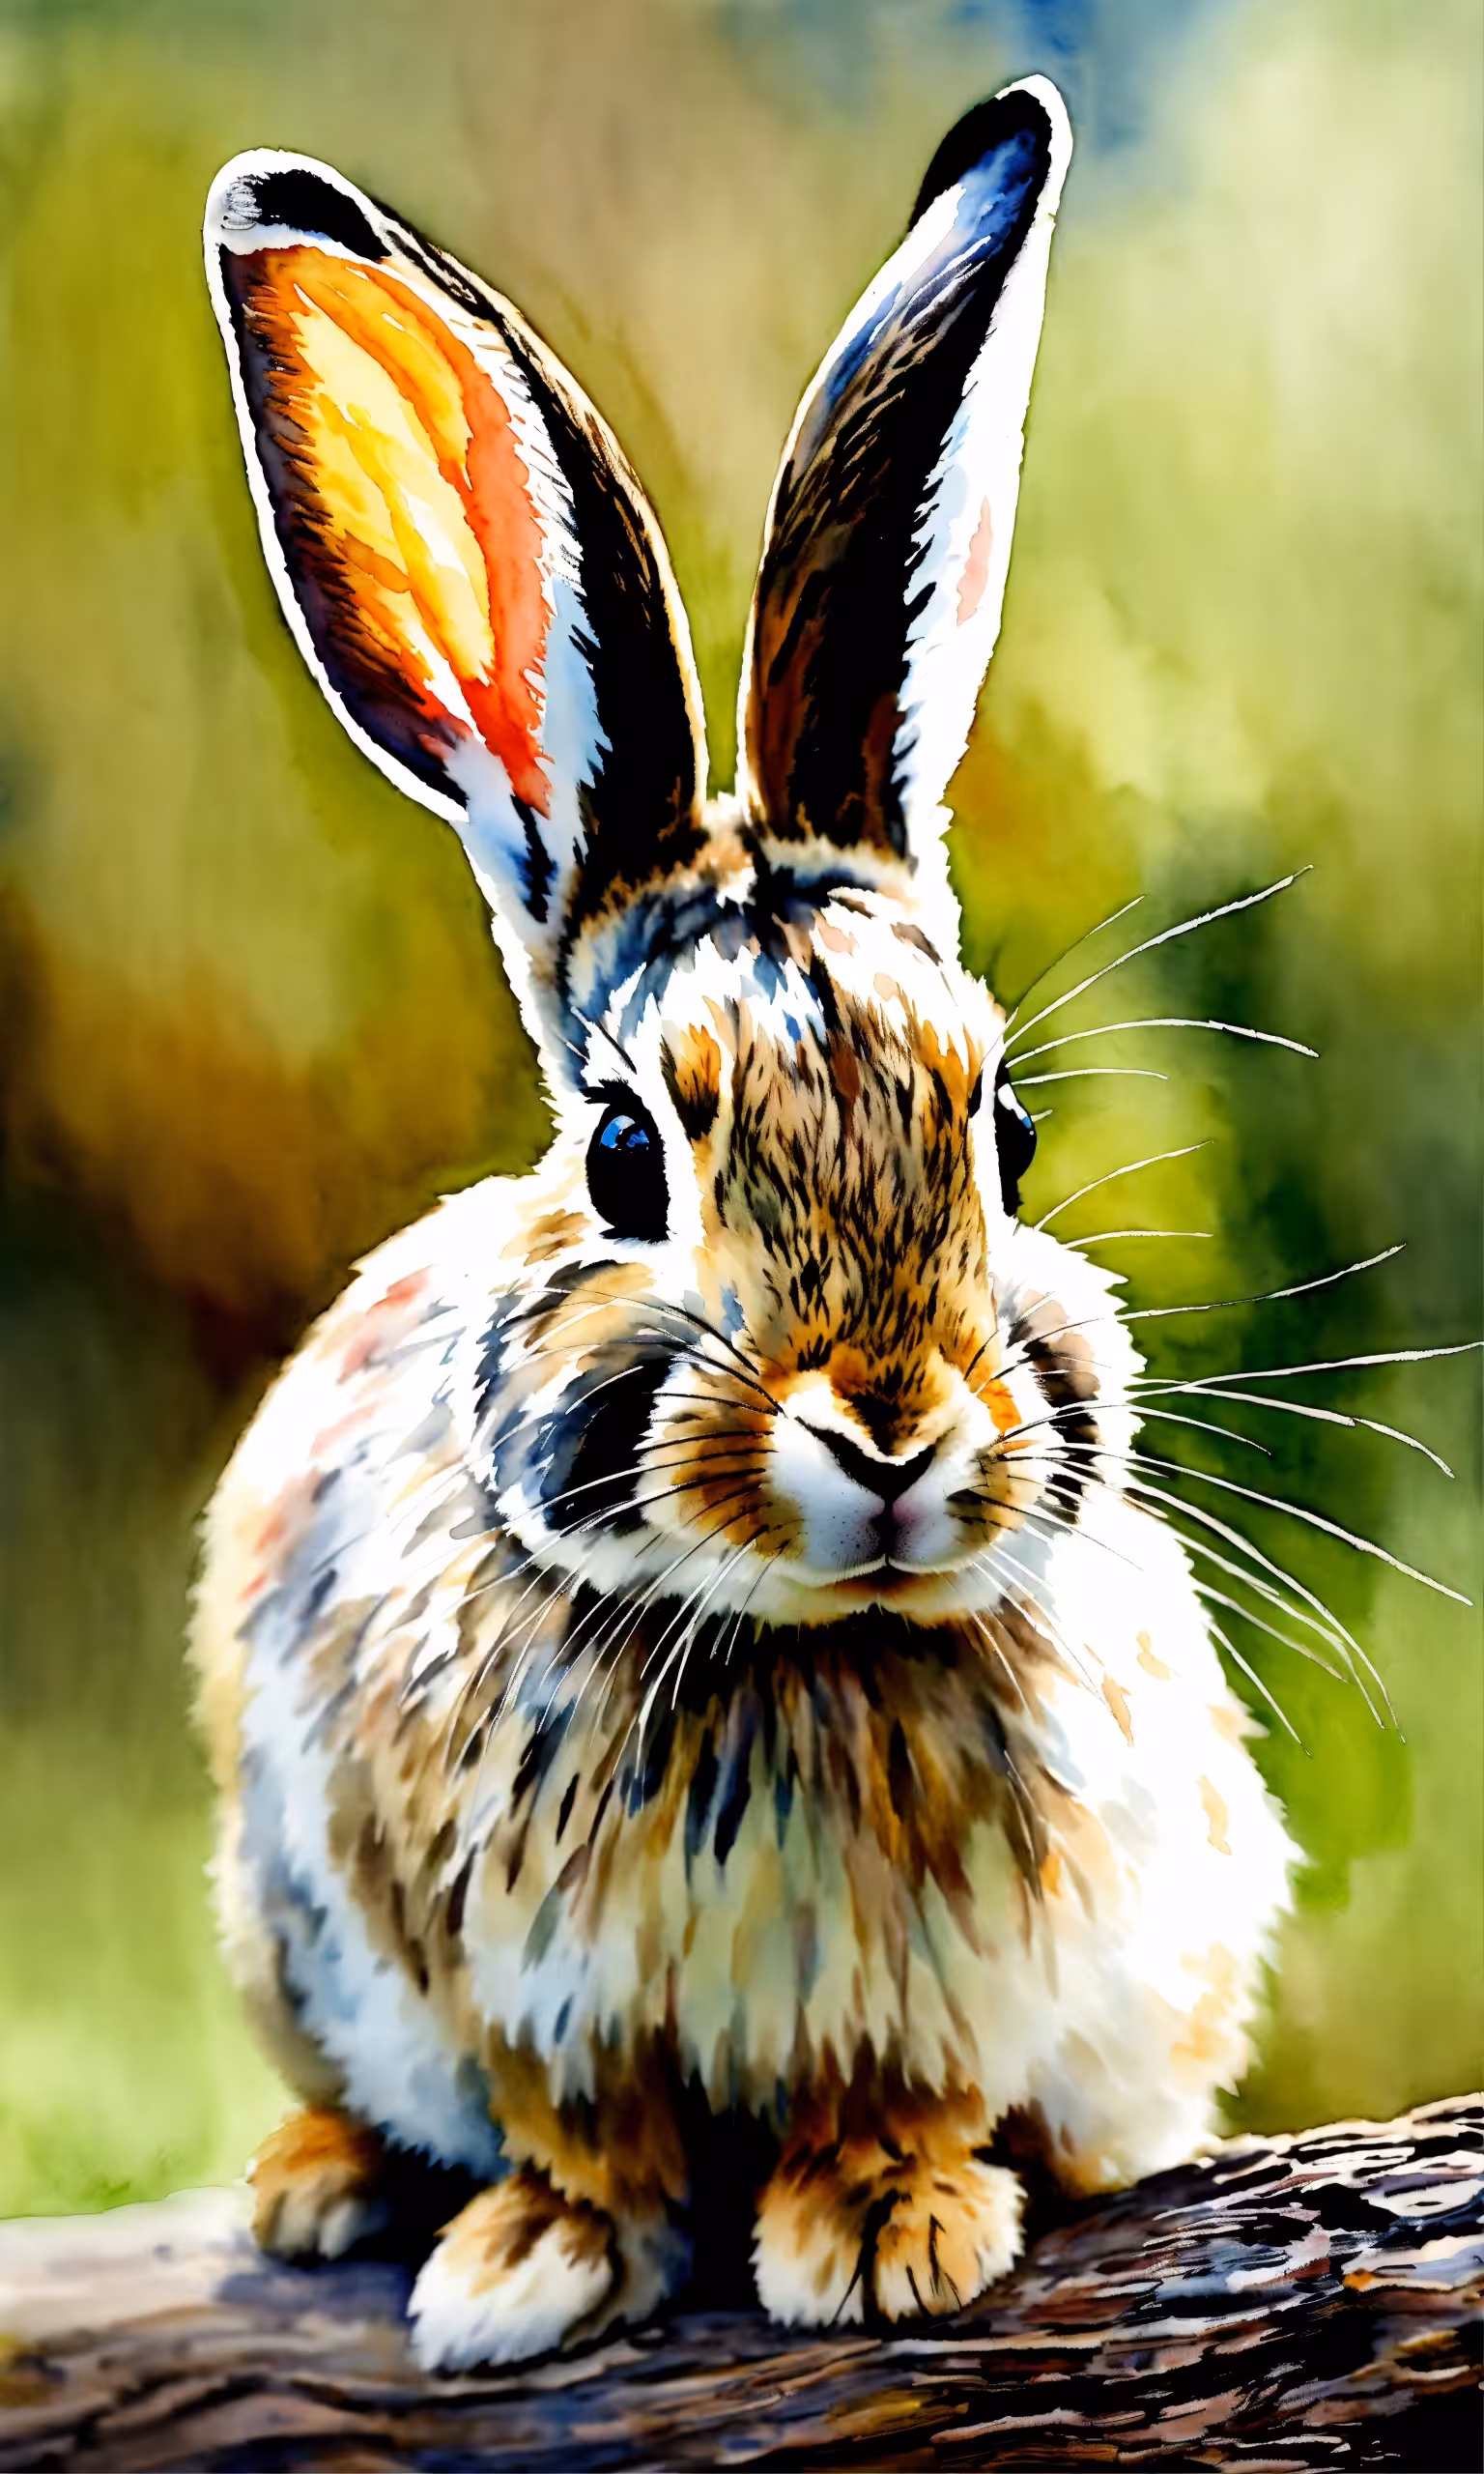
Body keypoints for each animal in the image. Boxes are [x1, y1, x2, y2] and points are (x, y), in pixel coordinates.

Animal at [194, 75, 1297, 2373]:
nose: (888, 1427)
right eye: (625, 1156)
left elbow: (902, 2091)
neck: (798, 1644)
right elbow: (580, 2130)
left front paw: (886, 2230)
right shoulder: (507, 1984)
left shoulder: (978, 1984)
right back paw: (322, 2186)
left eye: (1006, 1134)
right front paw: (530, 2273)